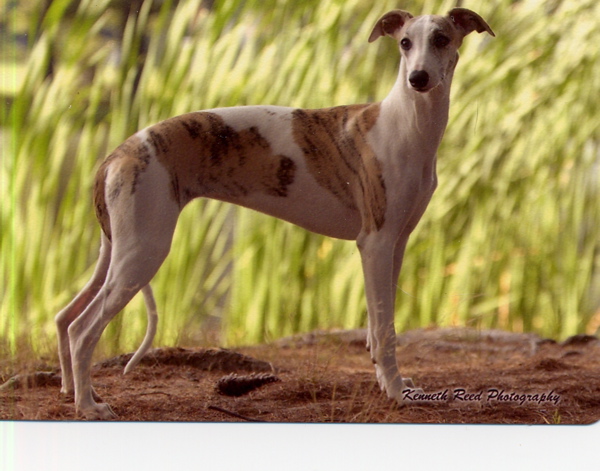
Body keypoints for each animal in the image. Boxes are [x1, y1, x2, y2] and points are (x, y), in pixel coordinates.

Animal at [55, 8, 492, 420]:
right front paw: (398, 393)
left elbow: (377, 322)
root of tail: (118, 153)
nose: (418, 78)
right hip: (145, 249)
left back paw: (75, 390)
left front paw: (388, 382)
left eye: (441, 39)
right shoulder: (375, 243)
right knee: (82, 330)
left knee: (64, 317)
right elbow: (385, 330)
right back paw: (89, 407)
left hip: (117, 249)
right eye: (404, 42)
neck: (405, 124)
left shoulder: (396, 243)